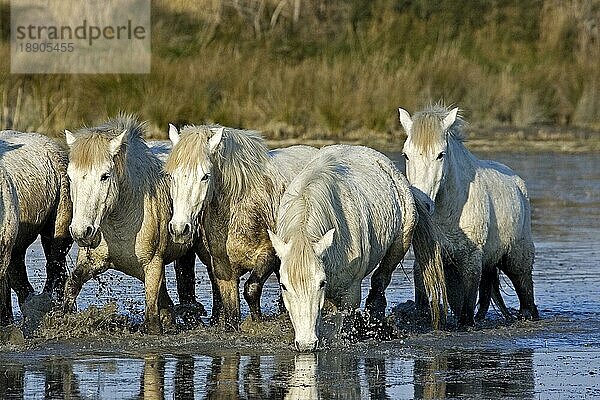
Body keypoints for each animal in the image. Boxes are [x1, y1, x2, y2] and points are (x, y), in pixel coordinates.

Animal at [63, 114, 206, 332]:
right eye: (70, 176)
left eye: (104, 176)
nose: (82, 232)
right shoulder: (92, 263)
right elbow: (72, 285)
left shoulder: (153, 266)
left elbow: (152, 320)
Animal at [162, 124, 316, 328]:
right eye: (171, 176)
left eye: (205, 176)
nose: (180, 228)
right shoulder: (223, 271)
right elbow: (230, 312)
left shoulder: (268, 255)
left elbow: (251, 289)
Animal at [268, 145, 446, 352]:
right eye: (283, 285)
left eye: (321, 283)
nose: (306, 344)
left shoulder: (350, 295)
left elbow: (343, 324)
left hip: (399, 246)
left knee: (380, 280)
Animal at [400, 104, 536, 326]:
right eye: (406, 155)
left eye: (441, 154)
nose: (422, 204)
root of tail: (519, 184)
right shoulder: (426, 261)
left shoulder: (471, 260)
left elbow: (466, 312)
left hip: (517, 259)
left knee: (527, 296)